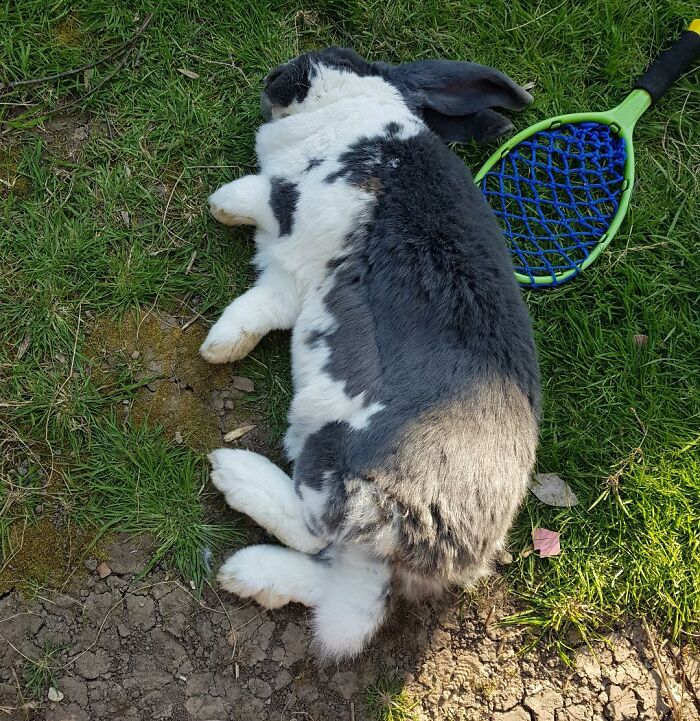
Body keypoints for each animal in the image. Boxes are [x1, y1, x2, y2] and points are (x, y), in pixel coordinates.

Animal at [201, 47, 540, 661]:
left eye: (334, 59)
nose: (276, 76)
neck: (363, 116)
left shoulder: (302, 206)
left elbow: (266, 193)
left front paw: (223, 203)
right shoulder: (290, 282)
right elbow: (257, 308)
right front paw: (219, 346)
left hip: (335, 453)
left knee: (316, 533)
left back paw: (235, 474)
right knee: (339, 592)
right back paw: (251, 573)